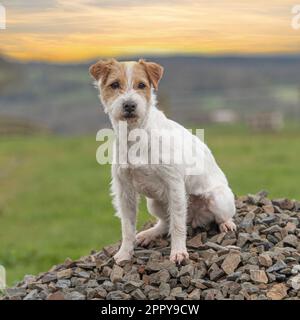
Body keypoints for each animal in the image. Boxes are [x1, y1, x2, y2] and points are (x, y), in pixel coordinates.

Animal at [89, 58, 237, 264]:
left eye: (142, 85)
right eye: (114, 85)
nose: (129, 105)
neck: (136, 133)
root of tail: (195, 218)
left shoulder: (174, 184)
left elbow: (177, 225)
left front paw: (178, 252)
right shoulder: (124, 190)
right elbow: (127, 227)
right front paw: (125, 253)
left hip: (218, 199)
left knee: (218, 216)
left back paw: (226, 224)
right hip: (155, 203)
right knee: (165, 222)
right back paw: (149, 233)